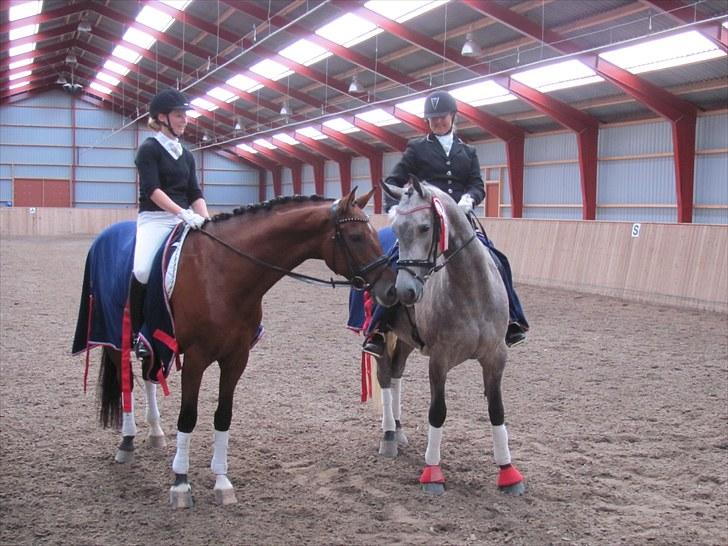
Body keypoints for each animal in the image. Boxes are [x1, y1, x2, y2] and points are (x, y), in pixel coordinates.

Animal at [72, 189, 398, 508]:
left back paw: (155, 433)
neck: (223, 272)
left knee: (149, 376)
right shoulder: (196, 358)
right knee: (126, 382)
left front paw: (222, 481)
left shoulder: (236, 357)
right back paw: (127, 441)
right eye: (356, 236)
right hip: (114, 335)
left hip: (153, 343)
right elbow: (188, 416)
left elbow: (223, 415)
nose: (391, 290)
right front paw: (181, 483)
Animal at [376, 178, 524, 492]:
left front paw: (508, 473)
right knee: (384, 376)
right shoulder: (439, 360)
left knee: (396, 373)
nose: (404, 291)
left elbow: (497, 410)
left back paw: (399, 429)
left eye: (424, 227)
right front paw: (433, 473)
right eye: (397, 230)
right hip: (381, 336)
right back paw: (389, 436)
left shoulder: (496, 357)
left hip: (406, 340)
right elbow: (438, 412)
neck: (470, 290)